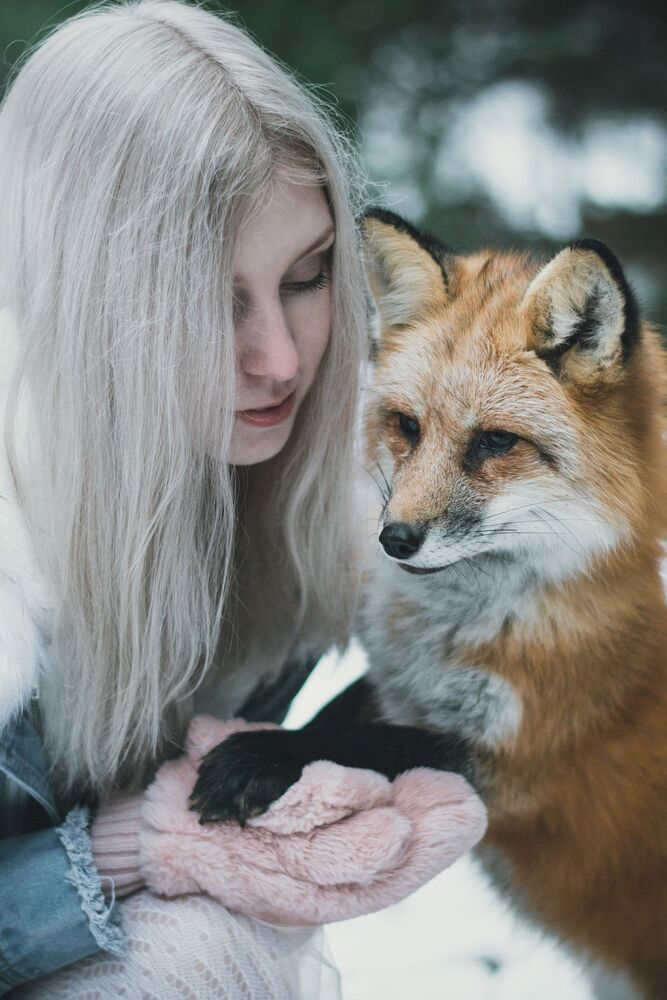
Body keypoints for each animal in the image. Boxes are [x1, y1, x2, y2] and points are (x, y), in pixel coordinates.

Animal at [192, 210, 667, 999]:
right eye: (407, 427)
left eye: (495, 443)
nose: (394, 539)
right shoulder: (401, 686)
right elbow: (349, 712)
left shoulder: (526, 760)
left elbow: (378, 740)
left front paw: (261, 755)